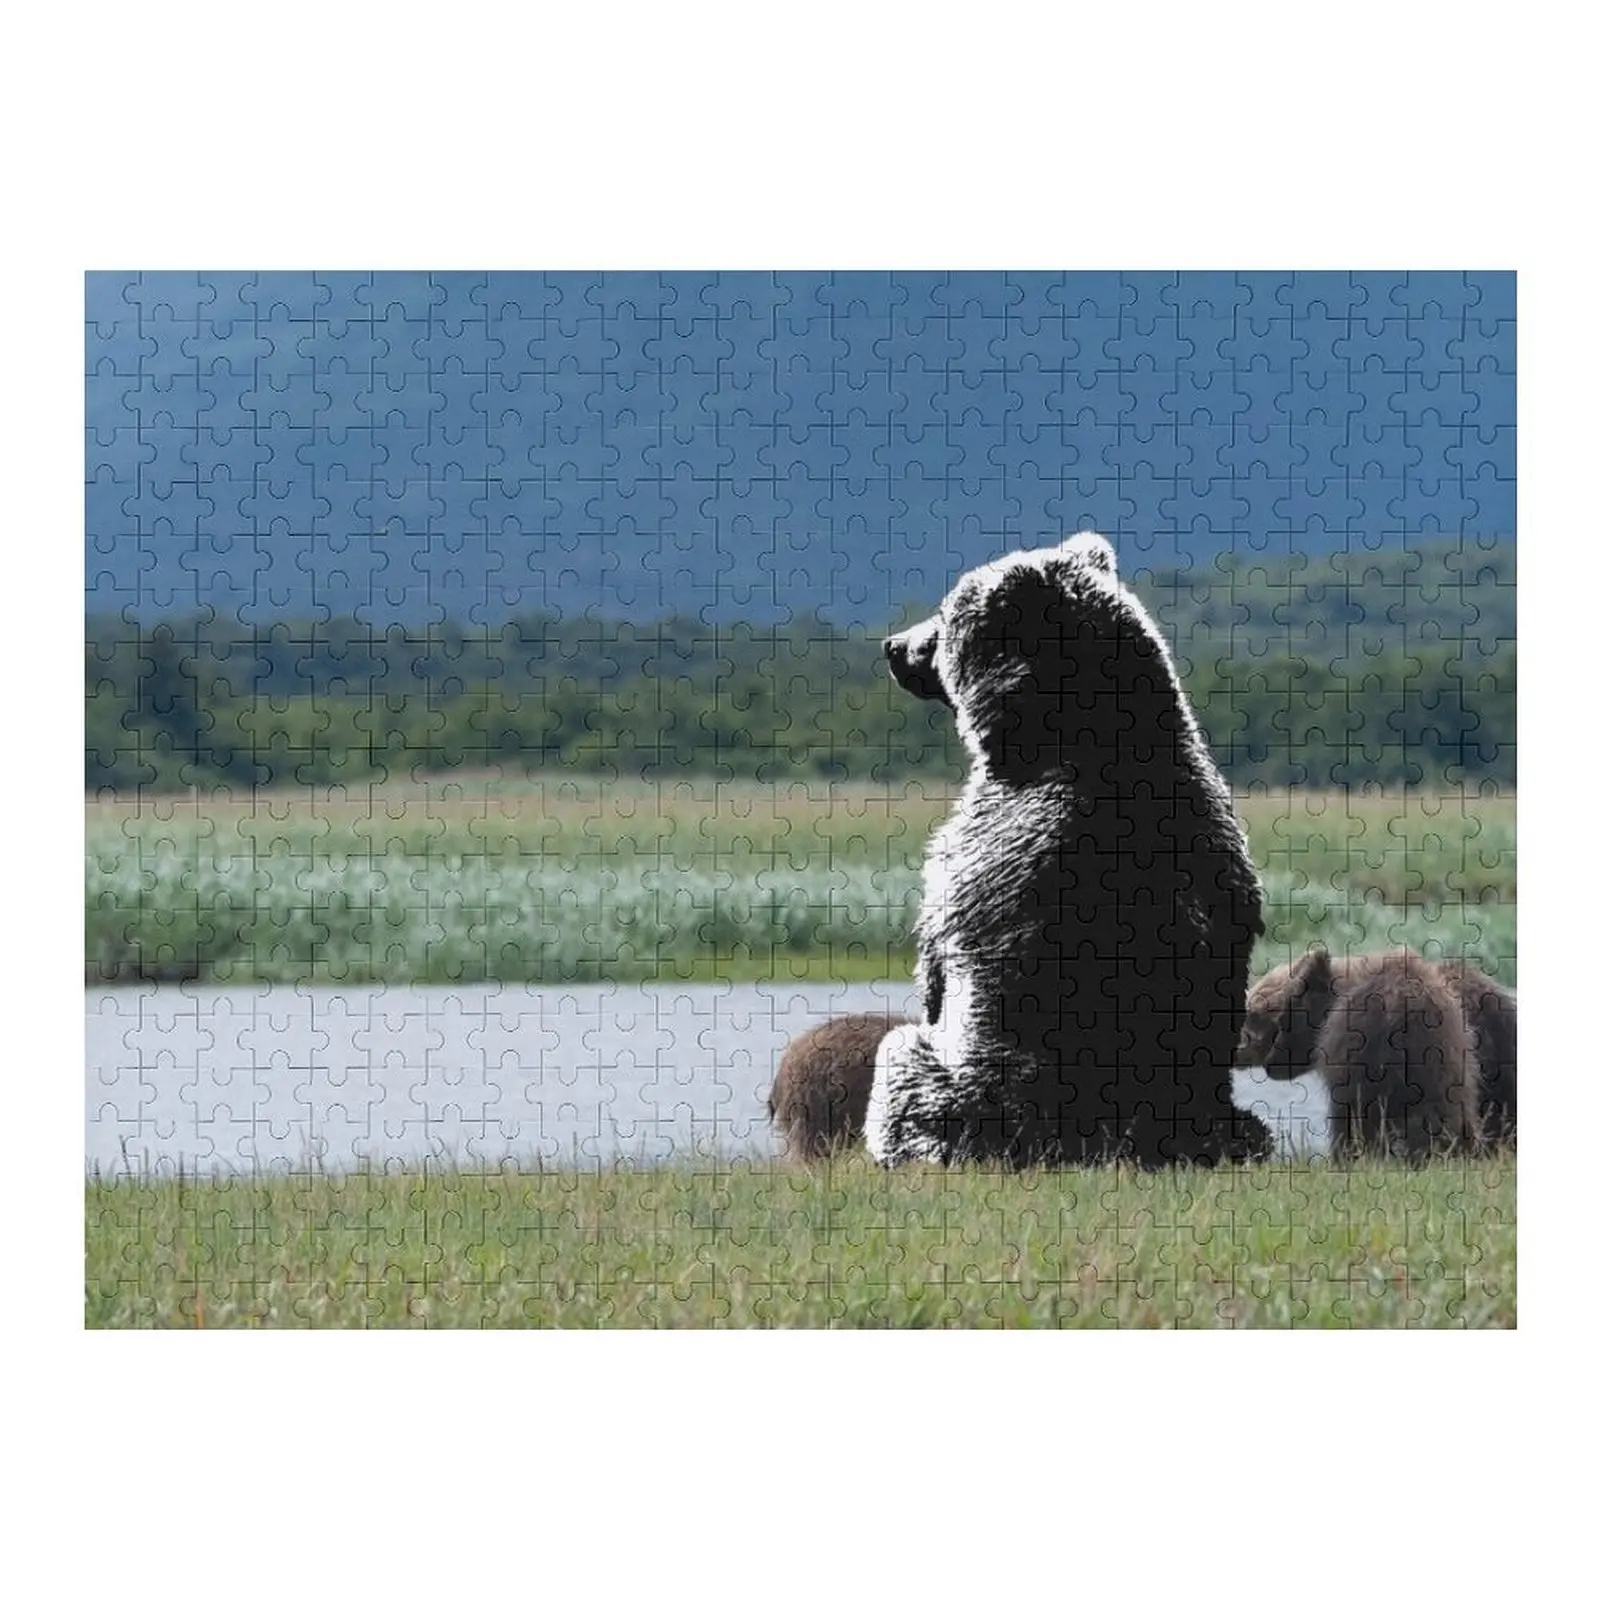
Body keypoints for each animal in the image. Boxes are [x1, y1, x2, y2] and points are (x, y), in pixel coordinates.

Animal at [864, 531, 1274, 1169]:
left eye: (946, 613)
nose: (894, 646)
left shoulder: (996, 836)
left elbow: (942, 929)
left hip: (971, 1095)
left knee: (900, 1062)